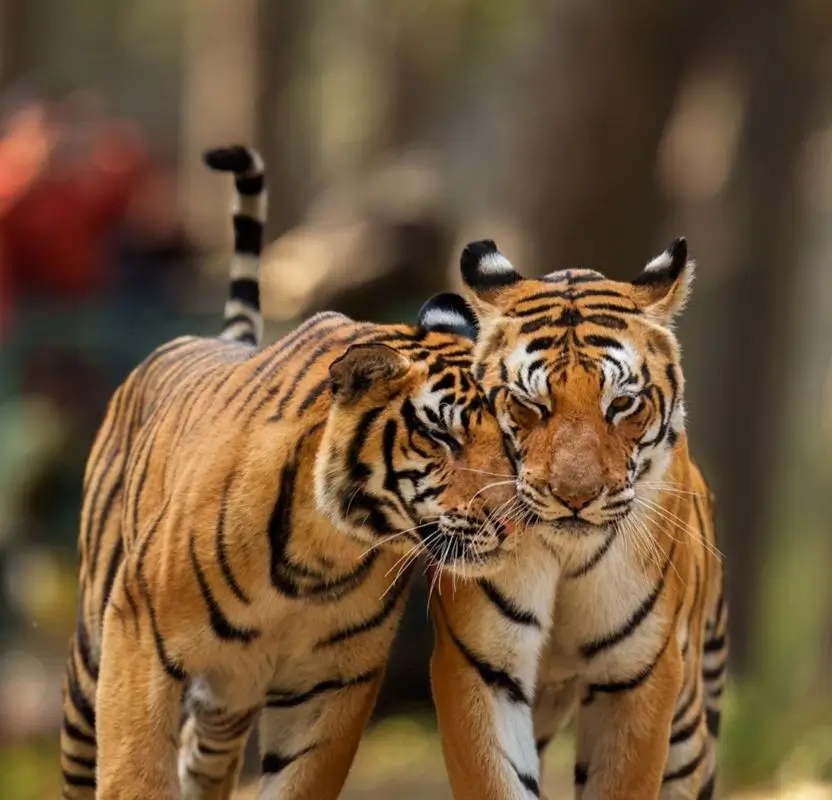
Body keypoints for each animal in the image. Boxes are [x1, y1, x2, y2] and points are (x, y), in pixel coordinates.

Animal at [58, 146, 558, 800]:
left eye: (511, 431)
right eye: (443, 435)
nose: (515, 520)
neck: (323, 554)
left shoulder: (333, 681)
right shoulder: (139, 637)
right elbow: (134, 774)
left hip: (227, 698)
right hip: (92, 662)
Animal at [438, 237, 728, 800]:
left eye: (622, 403)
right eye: (530, 405)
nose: (575, 495)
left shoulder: (637, 675)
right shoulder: (482, 665)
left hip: (687, 729)